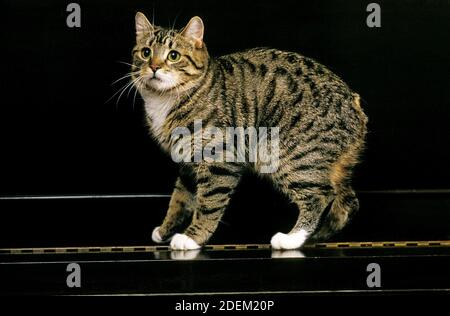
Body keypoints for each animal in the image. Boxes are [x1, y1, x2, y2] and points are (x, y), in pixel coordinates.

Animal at [131, 11, 370, 249]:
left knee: (320, 195)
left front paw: (192, 237)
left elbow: (208, 203)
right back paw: (318, 236)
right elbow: (179, 200)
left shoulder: (220, 159)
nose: (153, 67)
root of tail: (354, 104)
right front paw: (165, 230)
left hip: (289, 155)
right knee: (348, 202)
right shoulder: (187, 163)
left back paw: (292, 238)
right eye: (146, 52)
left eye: (173, 55)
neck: (165, 101)